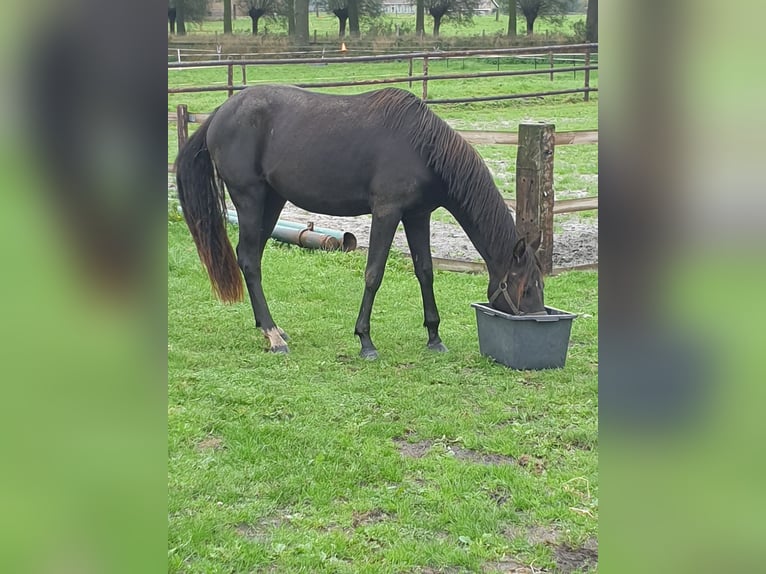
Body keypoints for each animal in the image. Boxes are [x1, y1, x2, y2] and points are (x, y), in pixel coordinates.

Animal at [176, 84, 544, 360]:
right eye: (527, 286)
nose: (539, 318)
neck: (422, 148)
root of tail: (220, 114)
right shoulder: (386, 212)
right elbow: (373, 273)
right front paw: (365, 341)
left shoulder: (418, 215)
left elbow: (425, 271)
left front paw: (434, 337)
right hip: (250, 198)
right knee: (250, 260)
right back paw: (273, 336)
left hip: (272, 202)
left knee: (250, 257)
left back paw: (271, 329)